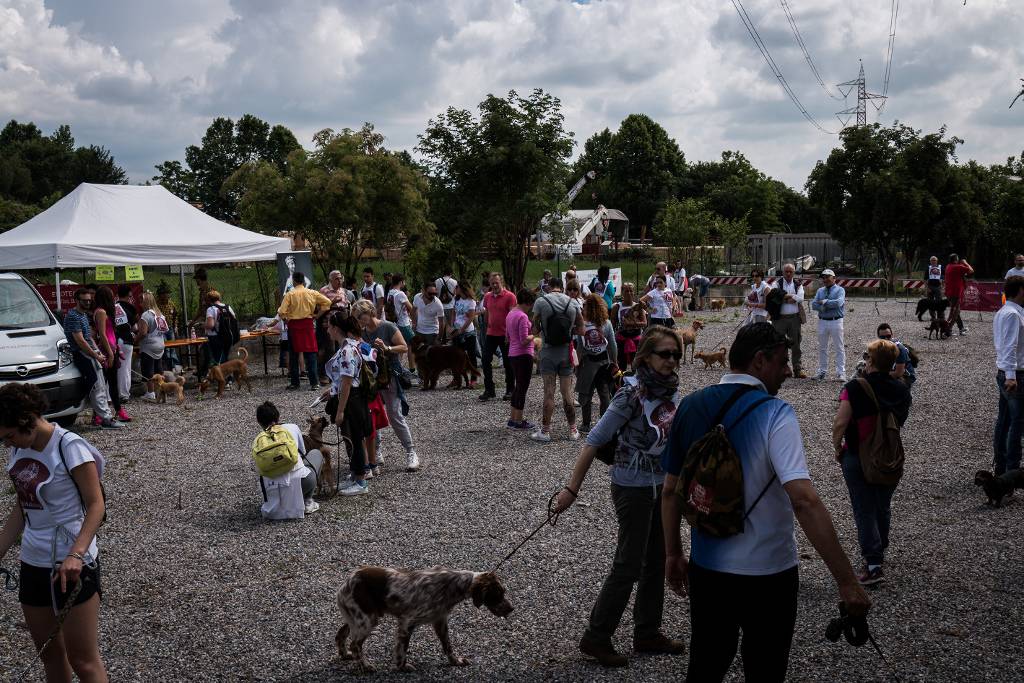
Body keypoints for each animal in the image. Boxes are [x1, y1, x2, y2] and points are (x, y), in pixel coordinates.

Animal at [335, 565, 512, 671]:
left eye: (504, 592)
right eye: (498, 594)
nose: (512, 609)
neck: (452, 585)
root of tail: (345, 584)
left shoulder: (440, 621)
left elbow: (448, 646)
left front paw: (456, 662)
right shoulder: (407, 622)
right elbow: (402, 649)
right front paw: (402, 667)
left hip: (359, 616)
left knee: (340, 635)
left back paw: (345, 655)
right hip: (368, 619)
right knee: (355, 644)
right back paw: (365, 666)